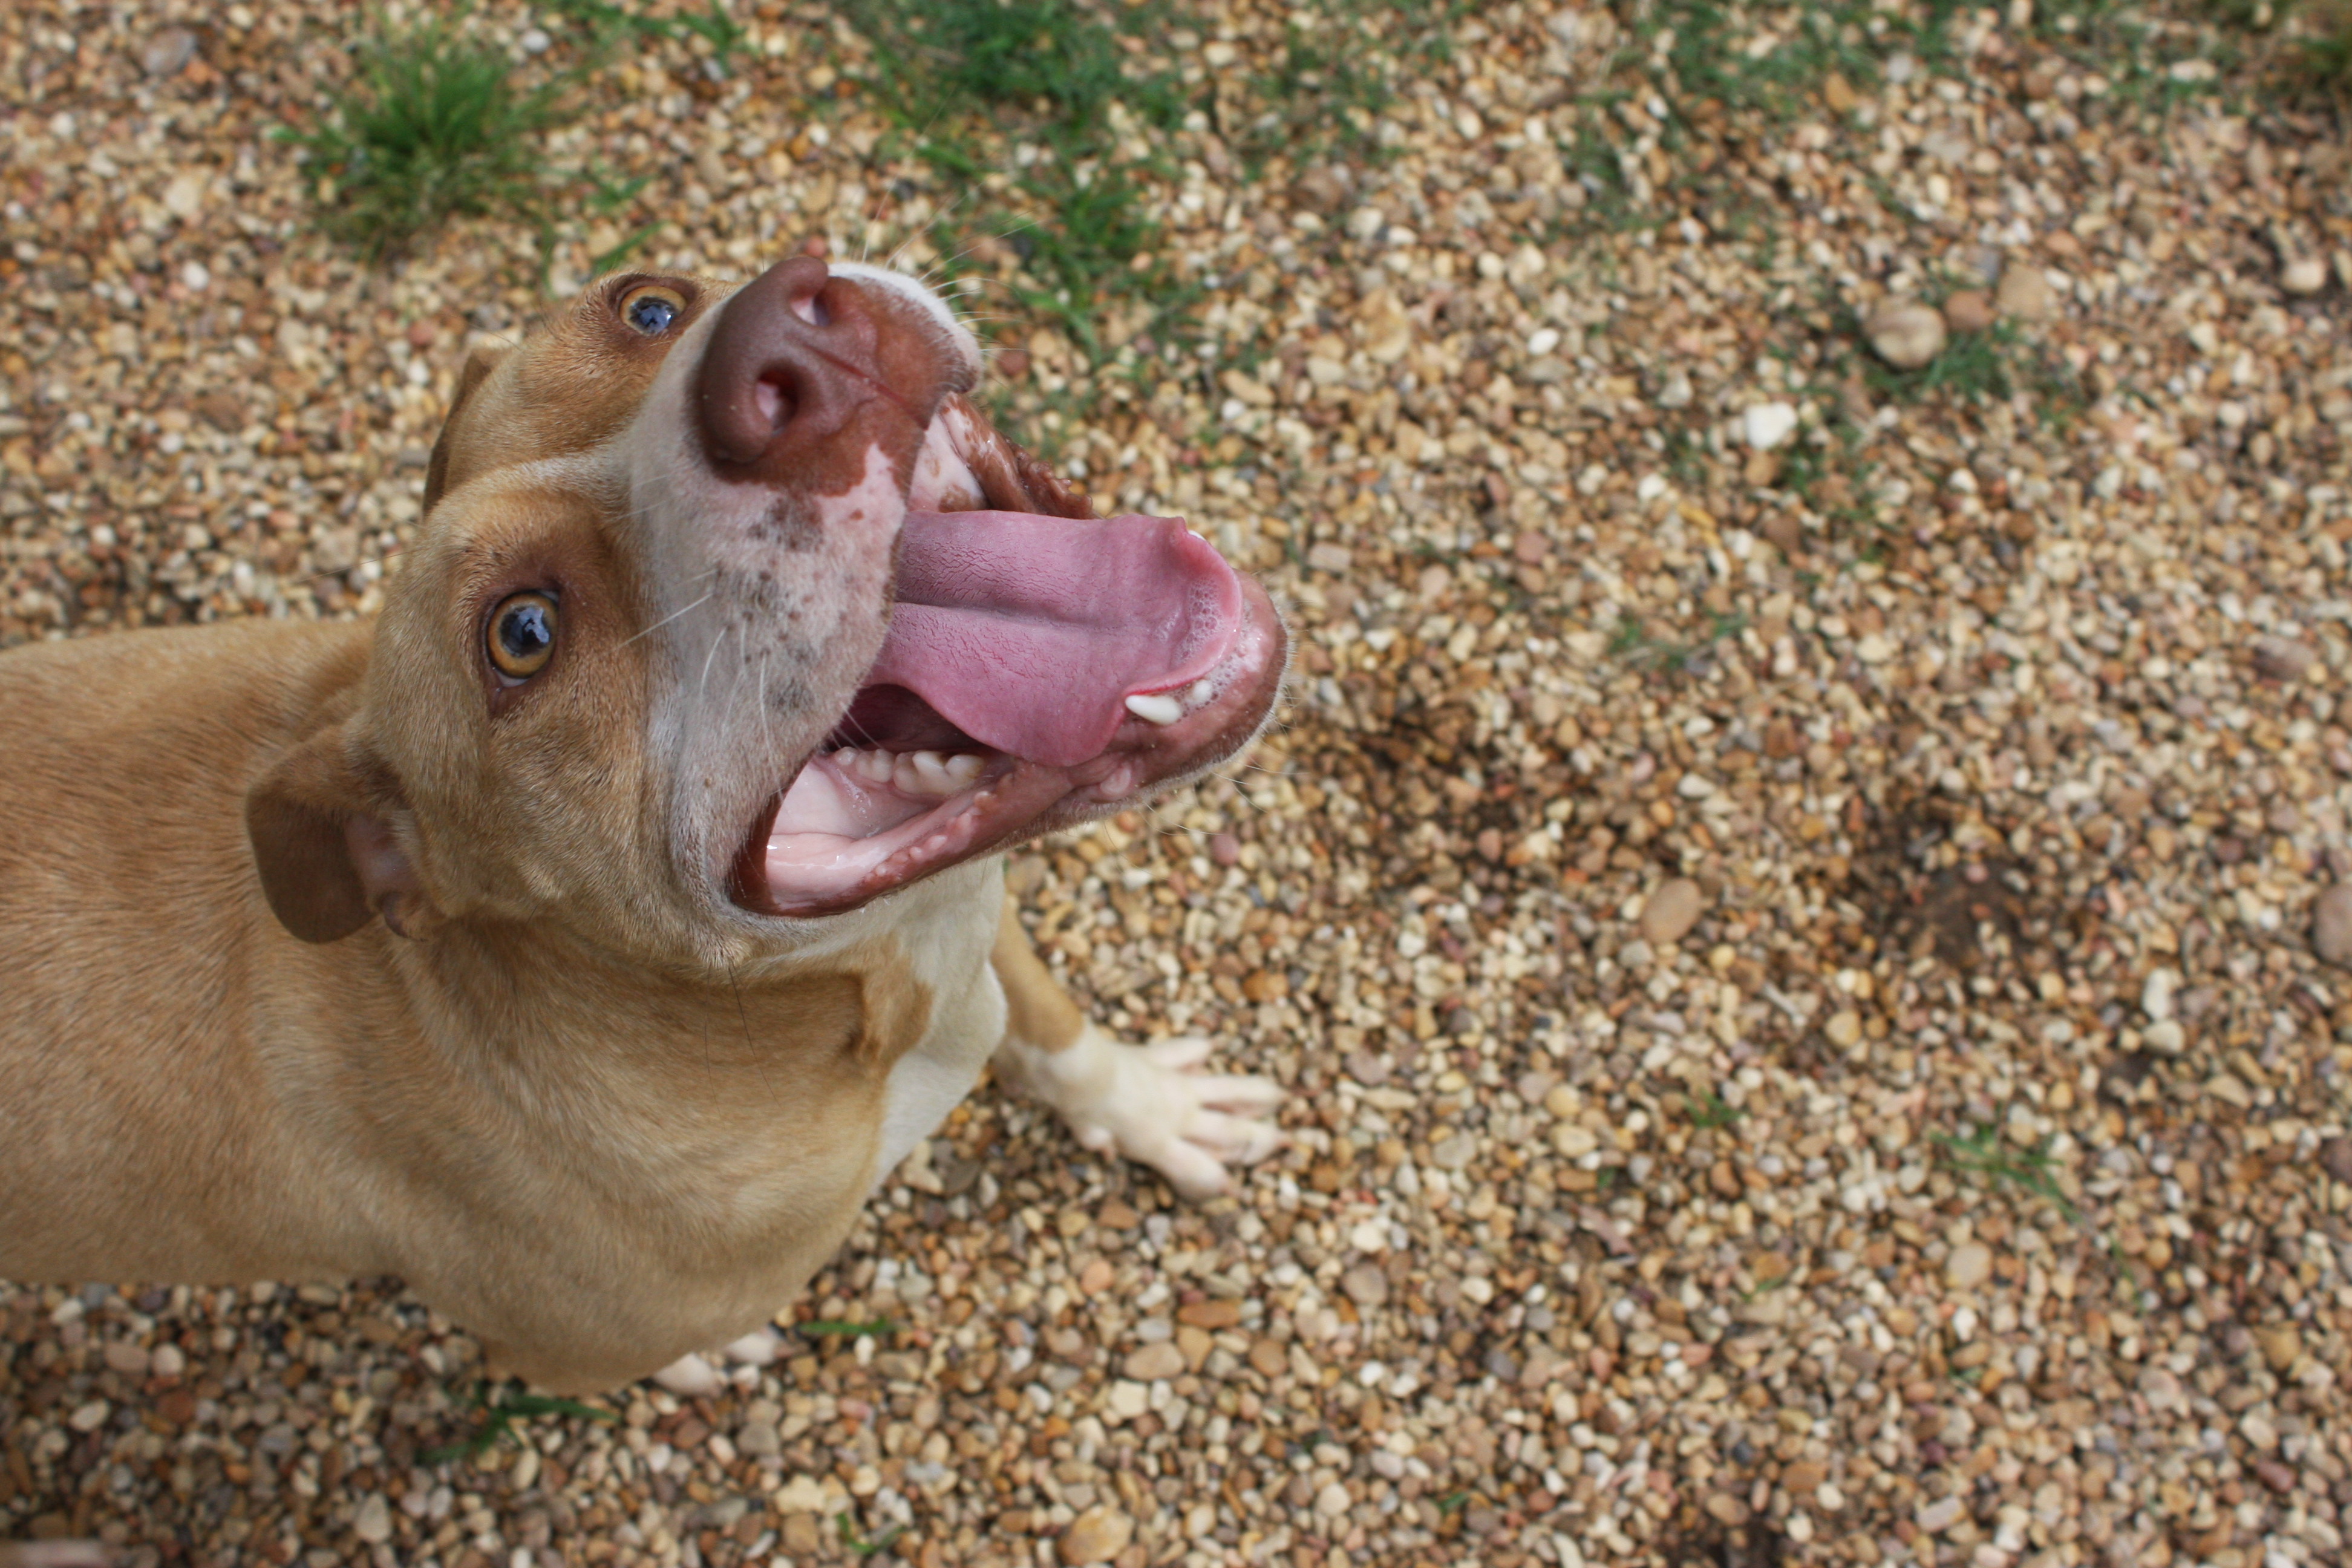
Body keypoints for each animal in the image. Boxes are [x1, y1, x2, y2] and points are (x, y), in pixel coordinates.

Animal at [0, 257, 1289, 1410]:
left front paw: (1150, 1107)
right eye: (521, 633)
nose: (796, 357)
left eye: (649, 306)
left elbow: (1055, 1027)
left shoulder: (966, 917)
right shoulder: (556, 1348)